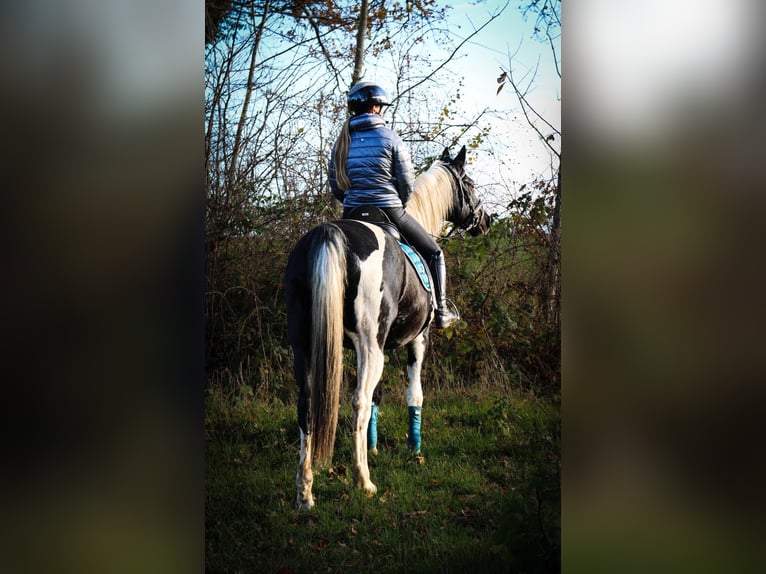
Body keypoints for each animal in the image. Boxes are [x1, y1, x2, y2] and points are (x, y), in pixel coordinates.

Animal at [285, 145, 491, 510]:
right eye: (469, 184)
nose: (486, 221)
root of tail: (330, 234)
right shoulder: (418, 341)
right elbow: (414, 394)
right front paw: (415, 451)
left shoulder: (379, 346)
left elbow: (379, 396)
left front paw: (374, 447)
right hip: (370, 347)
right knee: (358, 402)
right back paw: (363, 481)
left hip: (309, 346)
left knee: (307, 406)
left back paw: (305, 494)